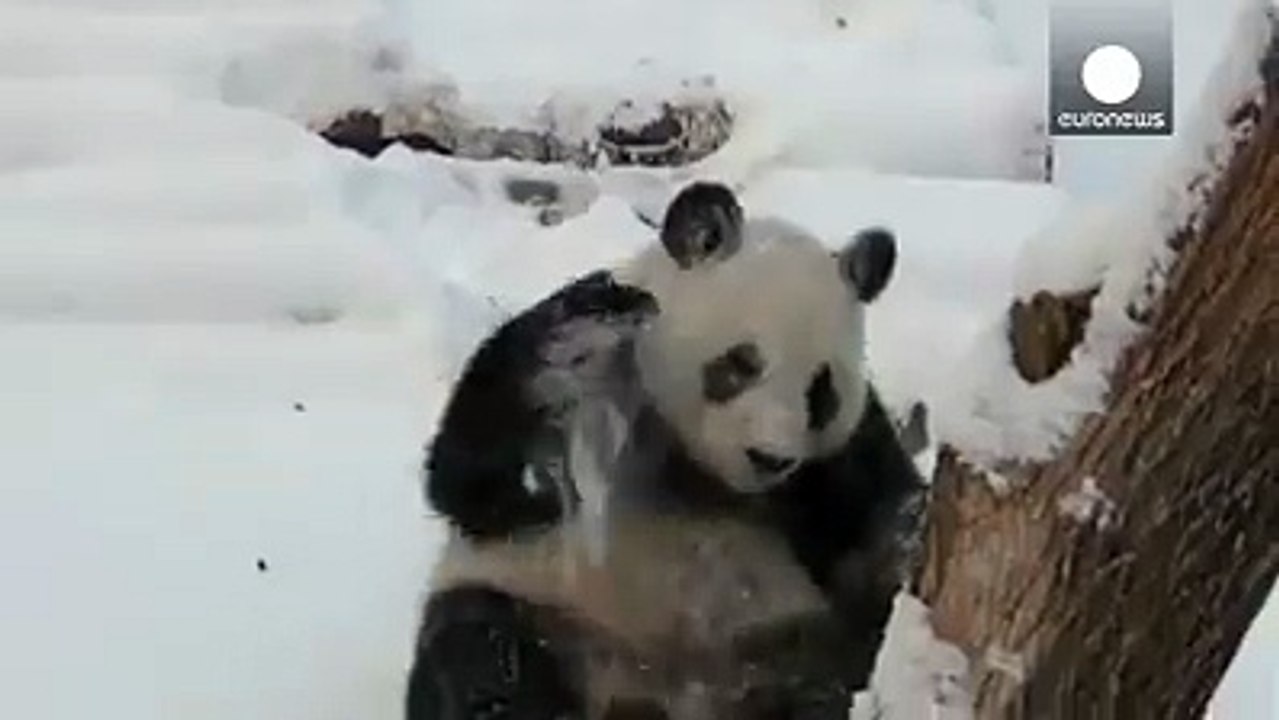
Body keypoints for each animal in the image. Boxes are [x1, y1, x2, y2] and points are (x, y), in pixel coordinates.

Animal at [409, 182, 924, 720]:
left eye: (821, 392)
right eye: (740, 364)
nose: (770, 458)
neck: (699, 470)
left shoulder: (843, 454)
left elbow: (872, 515)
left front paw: (905, 534)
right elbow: (474, 486)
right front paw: (574, 338)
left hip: (782, 641)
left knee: (829, 676)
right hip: (549, 609)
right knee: (483, 652)